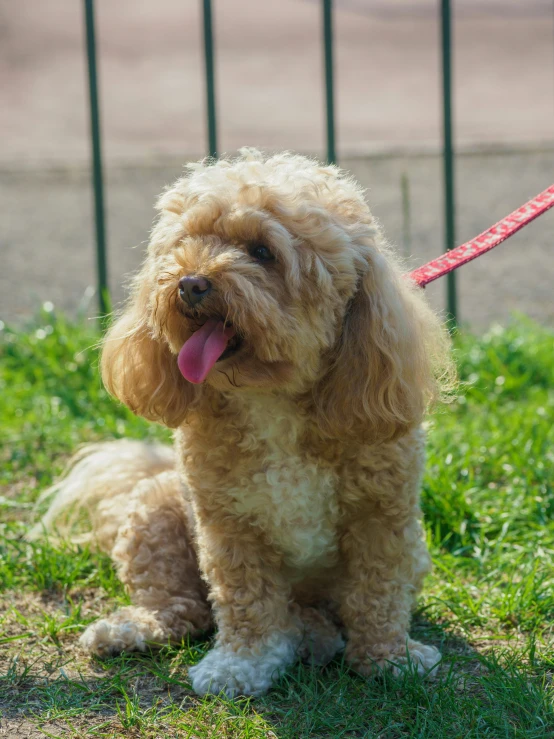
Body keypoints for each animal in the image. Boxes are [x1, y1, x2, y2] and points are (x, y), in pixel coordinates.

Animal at [34, 152, 450, 700]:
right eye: (185, 243)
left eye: (262, 251)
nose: (190, 282)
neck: (270, 399)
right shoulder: (230, 526)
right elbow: (245, 602)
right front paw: (240, 665)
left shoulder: (381, 516)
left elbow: (377, 595)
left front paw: (389, 658)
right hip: (156, 511)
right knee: (180, 607)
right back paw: (136, 628)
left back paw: (311, 633)